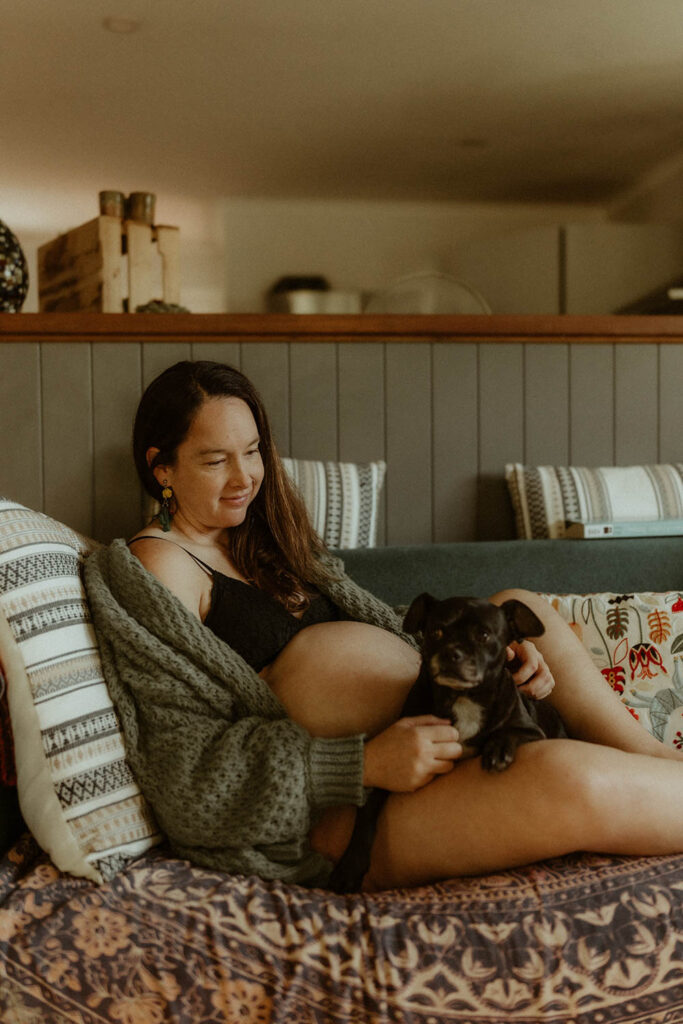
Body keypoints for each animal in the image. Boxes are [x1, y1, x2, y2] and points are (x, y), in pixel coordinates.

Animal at [327, 598, 565, 892]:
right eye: (436, 632)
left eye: (483, 635)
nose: (452, 653)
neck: (463, 698)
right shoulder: (389, 773)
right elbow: (366, 814)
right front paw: (349, 868)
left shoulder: (532, 732)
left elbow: (507, 734)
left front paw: (497, 750)